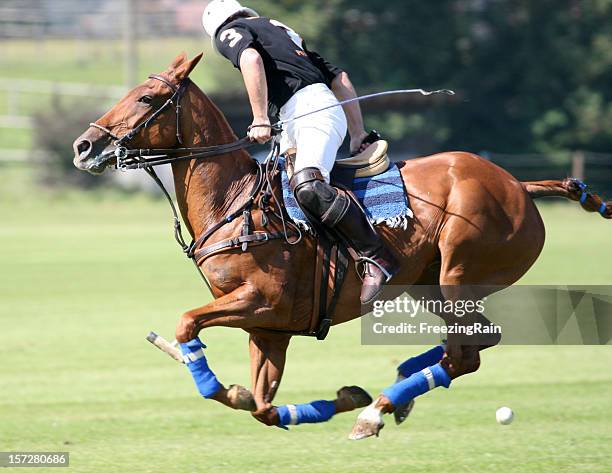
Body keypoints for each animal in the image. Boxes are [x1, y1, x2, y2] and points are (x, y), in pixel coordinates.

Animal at [73, 53, 612, 436]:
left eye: (146, 99)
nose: (83, 146)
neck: (234, 201)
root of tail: (520, 185)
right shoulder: (269, 328)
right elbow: (262, 406)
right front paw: (342, 395)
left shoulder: (260, 301)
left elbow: (187, 325)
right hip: (428, 284)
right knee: (474, 345)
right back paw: (394, 390)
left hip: (459, 272)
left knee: (467, 351)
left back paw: (380, 409)